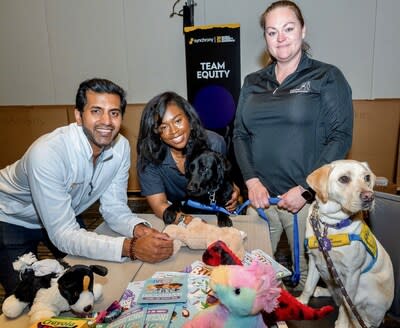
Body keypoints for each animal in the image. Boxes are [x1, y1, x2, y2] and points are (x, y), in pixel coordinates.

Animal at [296, 160, 394, 328]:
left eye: (367, 178)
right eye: (344, 179)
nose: (369, 196)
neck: (330, 224)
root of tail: (384, 316)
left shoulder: (351, 273)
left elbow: (346, 305)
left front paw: (342, 323)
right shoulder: (315, 261)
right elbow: (308, 285)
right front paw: (302, 302)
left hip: (365, 284)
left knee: (363, 317)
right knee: (335, 295)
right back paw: (320, 290)